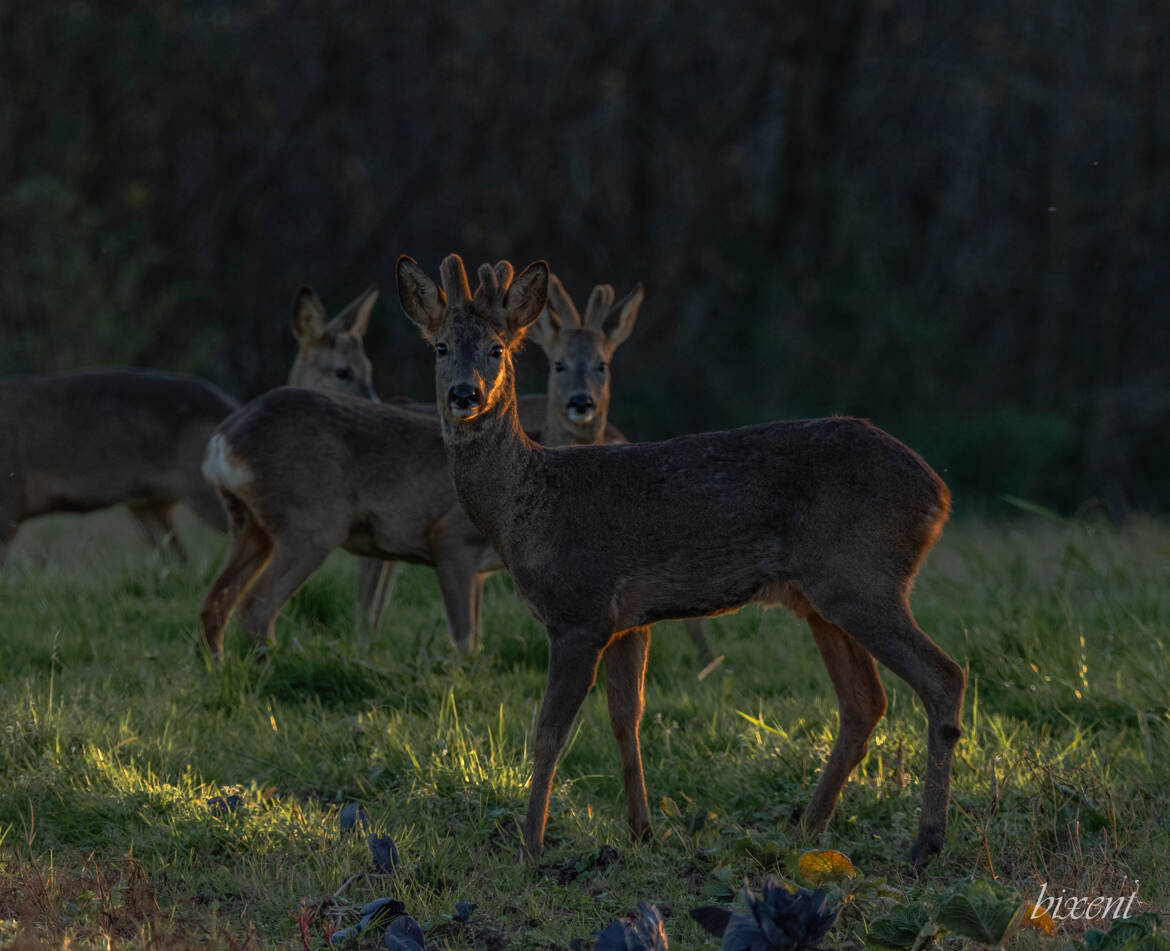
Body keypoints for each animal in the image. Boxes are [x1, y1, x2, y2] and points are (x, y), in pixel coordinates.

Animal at [397, 252, 964, 870]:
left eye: (498, 349)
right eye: (440, 347)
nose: (465, 395)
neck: (527, 508)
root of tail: (939, 495)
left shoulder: (579, 610)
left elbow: (549, 733)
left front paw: (531, 846)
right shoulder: (625, 623)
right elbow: (626, 719)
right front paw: (642, 831)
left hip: (861, 577)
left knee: (944, 676)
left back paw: (926, 842)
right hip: (822, 598)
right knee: (864, 703)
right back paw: (806, 831)